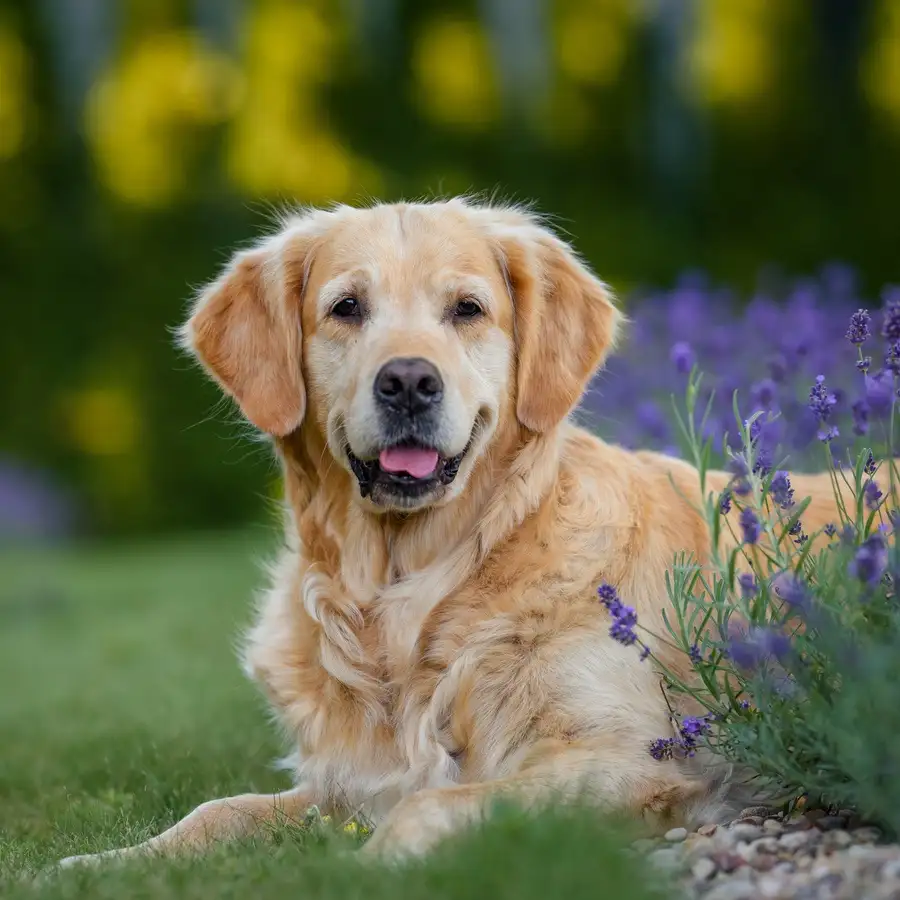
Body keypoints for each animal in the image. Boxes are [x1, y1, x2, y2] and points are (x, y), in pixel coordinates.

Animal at [59, 200, 840, 868]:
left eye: (467, 309)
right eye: (346, 308)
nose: (408, 381)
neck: (411, 593)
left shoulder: (635, 756)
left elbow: (431, 807)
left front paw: (365, 871)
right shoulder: (351, 782)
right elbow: (217, 811)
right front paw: (102, 864)